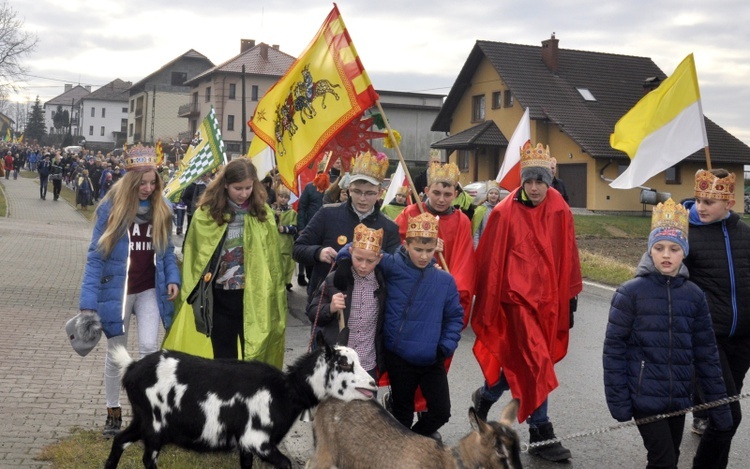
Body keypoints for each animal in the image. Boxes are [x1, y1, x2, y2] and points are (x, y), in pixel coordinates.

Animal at [104, 332, 376, 468]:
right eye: (345, 363)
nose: (373, 385)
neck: (286, 391)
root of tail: (132, 368)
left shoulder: (246, 445)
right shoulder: (257, 440)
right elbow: (287, 464)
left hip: (141, 419)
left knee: (119, 440)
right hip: (154, 426)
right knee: (147, 459)